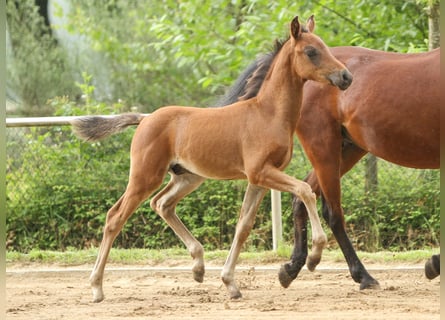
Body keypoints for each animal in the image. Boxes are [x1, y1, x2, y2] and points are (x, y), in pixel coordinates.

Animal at [72, 15, 350, 302]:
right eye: (311, 51)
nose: (346, 76)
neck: (268, 114)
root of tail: (145, 119)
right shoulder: (261, 172)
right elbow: (306, 190)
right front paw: (316, 254)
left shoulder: (259, 180)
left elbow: (243, 225)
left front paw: (230, 283)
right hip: (145, 176)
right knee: (115, 217)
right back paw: (96, 287)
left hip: (187, 177)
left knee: (162, 204)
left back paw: (198, 266)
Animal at [217, 44, 438, 288]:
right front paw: (434, 263)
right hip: (324, 148)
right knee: (332, 212)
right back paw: (362, 275)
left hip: (347, 150)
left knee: (302, 195)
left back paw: (293, 266)